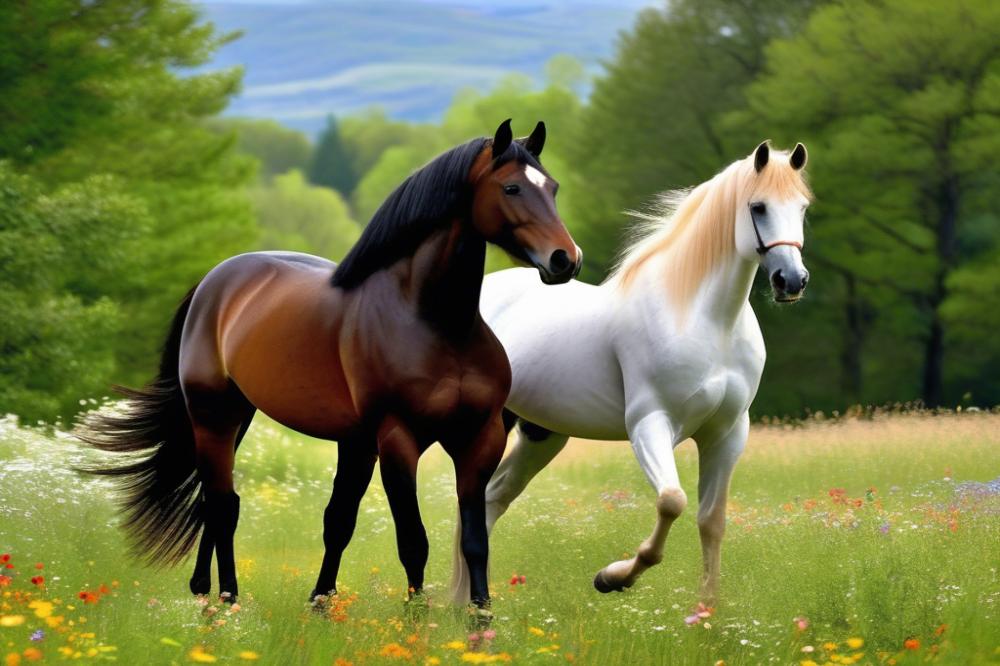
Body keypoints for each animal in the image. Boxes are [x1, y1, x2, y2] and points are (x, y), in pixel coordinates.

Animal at [79, 119, 582, 616]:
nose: (565, 259)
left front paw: (479, 616)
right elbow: (413, 541)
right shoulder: (398, 441)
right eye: (512, 187)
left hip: (252, 417)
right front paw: (416, 620)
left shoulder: (478, 437)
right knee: (223, 504)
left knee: (224, 501)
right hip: (213, 416)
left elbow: (470, 538)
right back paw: (227, 599)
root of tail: (212, 283)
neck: (438, 324)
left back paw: (209, 590)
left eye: (553, 187)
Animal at [449, 141, 811, 605]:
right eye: (758, 207)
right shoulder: (650, 424)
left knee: (492, 499)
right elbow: (671, 501)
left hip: (540, 435)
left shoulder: (728, 433)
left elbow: (712, 520)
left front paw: (707, 611)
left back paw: (465, 607)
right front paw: (613, 577)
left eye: (801, 207)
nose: (792, 281)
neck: (703, 318)